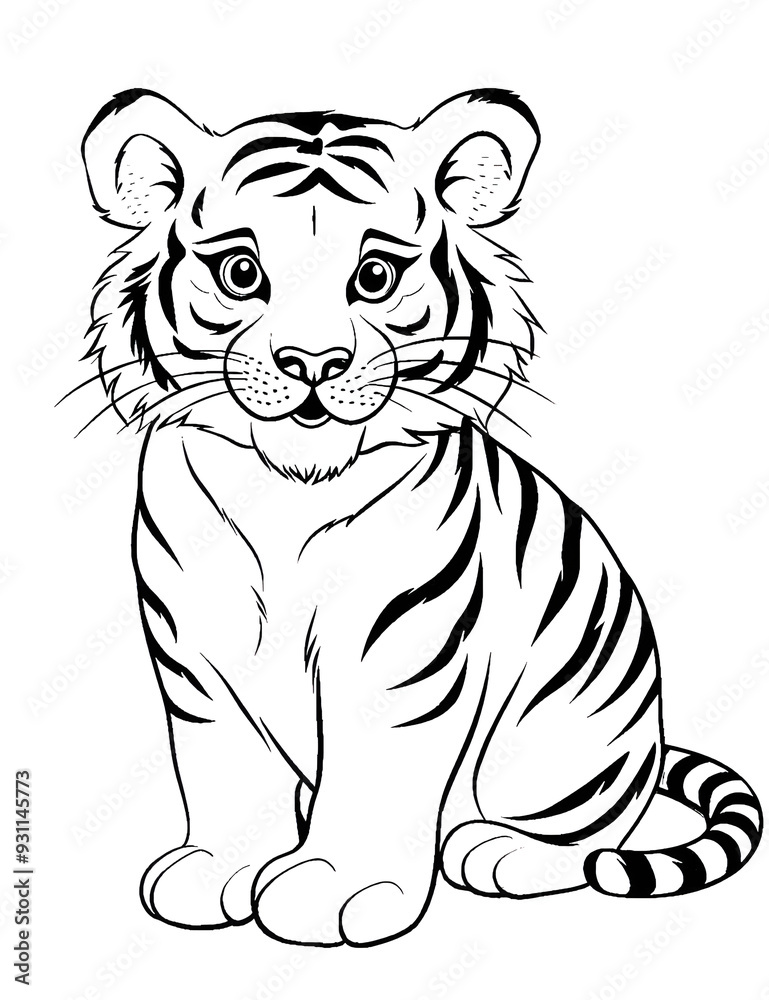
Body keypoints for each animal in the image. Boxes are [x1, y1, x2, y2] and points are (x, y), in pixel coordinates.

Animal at [75, 87, 762, 947]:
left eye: (373, 276)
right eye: (241, 272)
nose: (312, 363)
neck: (289, 491)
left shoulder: (401, 646)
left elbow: (376, 763)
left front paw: (333, 889)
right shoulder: (195, 643)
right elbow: (220, 759)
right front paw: (218, 870)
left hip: (566, 747)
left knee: (590, 839)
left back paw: (492, 851)